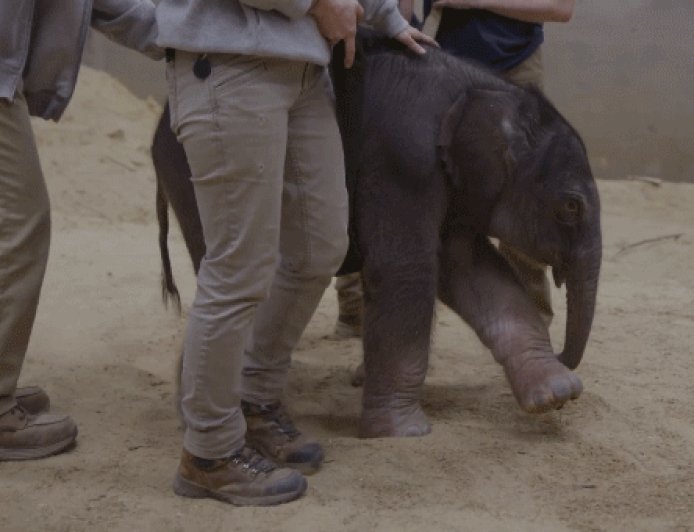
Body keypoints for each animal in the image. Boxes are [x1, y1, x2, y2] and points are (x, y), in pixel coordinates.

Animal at [151, 30, 602, 439]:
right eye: (571, 207)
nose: (564, 353)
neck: (488, 88)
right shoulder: (402, 158)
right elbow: (408, 269)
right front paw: (402, 431)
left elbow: (471, 270)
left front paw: (556, 393)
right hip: (208, 168)